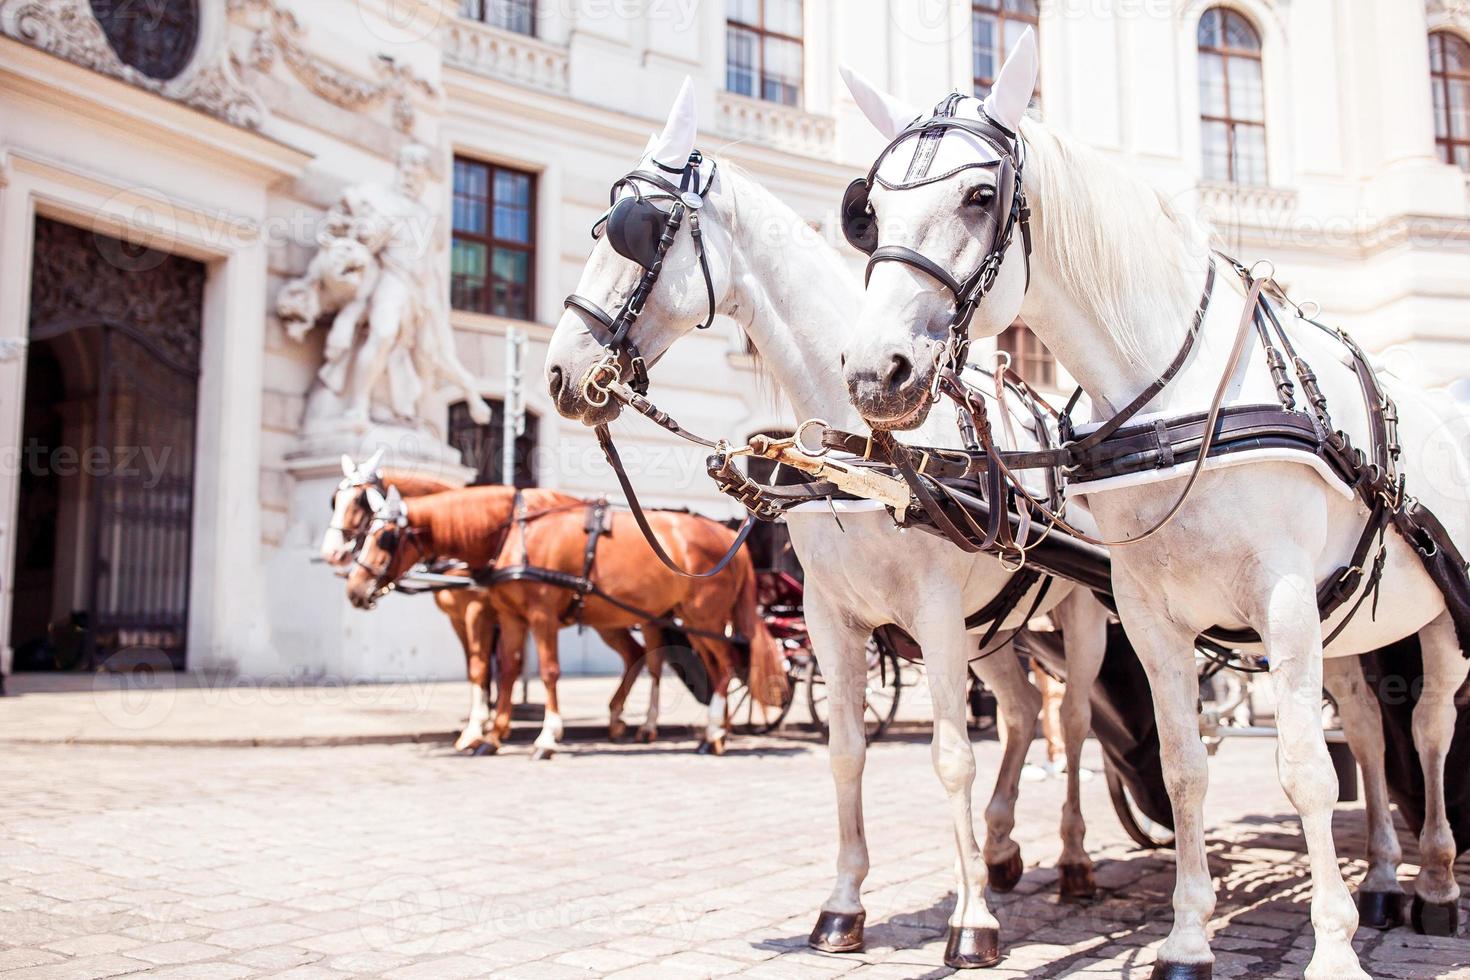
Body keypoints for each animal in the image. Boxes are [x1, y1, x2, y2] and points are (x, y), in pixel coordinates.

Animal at [318, 455, 646, 758]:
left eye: (360, 502)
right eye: (334, 500)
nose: (332, 554)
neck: (491, 537)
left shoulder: (479, 612)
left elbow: (483, 668)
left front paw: (480, 729)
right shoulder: (462, 619)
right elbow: (481, 669)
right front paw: (489, 725)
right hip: (610, 620)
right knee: (636, 654)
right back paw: (618, 719)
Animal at [345, 484, 787, 758]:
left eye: (384, 537)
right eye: (366, 533)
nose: (354, 588)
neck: (516, 531)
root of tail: (729, 540)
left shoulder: (538, 615)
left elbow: (548, 672)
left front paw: (546, 736)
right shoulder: (511, 617)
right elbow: (507, 670)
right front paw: (494, 735)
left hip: (704, 618)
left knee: (725, 667)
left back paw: (712, 734)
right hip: (678, 619)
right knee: (698, 667)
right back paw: (714, 730)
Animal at [552, 80, 1123, 969]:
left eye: (640, 234)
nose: (562, 373)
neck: (866, 448)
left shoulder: (934, 617)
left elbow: (950, 757)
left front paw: (970, 924)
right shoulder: (834, 619)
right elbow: (848, 750)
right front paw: (843, 907)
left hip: (1077, 613)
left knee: (1070, 721)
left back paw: (1069, 859)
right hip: (996, 629)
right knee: (1024, 713)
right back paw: (997, 850)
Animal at [840, 26, 1470, 975]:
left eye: (982, 195)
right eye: (868, 211)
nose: (877, 373)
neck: (1177, 401)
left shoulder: (1285, 601)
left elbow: (1303, 771)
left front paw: (1330, 948)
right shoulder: (1150, 614)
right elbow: (1184, 768)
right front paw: (1186, 936)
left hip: (1437, 622)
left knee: (1429, 729)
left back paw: (1433, 882)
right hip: (1350, 629)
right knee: (1367, 728)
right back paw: (1387, 879)